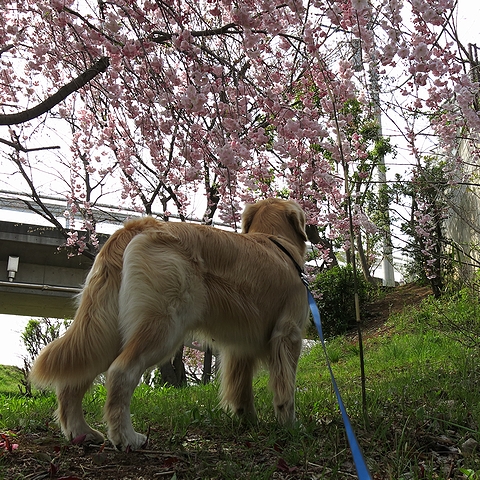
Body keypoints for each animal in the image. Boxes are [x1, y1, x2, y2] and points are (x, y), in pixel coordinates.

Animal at [31, 198, 308, 450]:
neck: (275, 242)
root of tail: (136, 226)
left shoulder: (240, 346)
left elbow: (241, 389)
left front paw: (249, 422)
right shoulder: (288, 333)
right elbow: (286, 389)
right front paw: (290, 425)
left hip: (105, 332)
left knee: (73, 380)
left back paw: (82, 432)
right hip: (164, 327)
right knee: (121, 373)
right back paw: (126, 437)